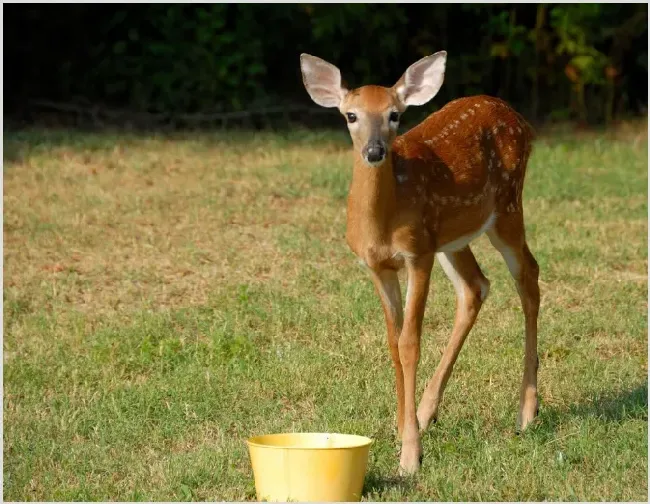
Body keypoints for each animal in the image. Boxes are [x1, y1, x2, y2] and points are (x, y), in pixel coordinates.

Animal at [298, 52, 536, 476]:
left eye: (394, 115)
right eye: (351, 115)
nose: (375, 151)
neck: (381, 224)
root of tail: (516, 115)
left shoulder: (417, 254)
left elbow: (410, 342)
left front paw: (410, 456)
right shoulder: (378, 267)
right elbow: (393, 342)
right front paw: (401, 427)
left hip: (506, 207)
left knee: (529, 279)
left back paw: (526, 412)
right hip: (452, 236)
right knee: (477, 286)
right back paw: (427, 412)